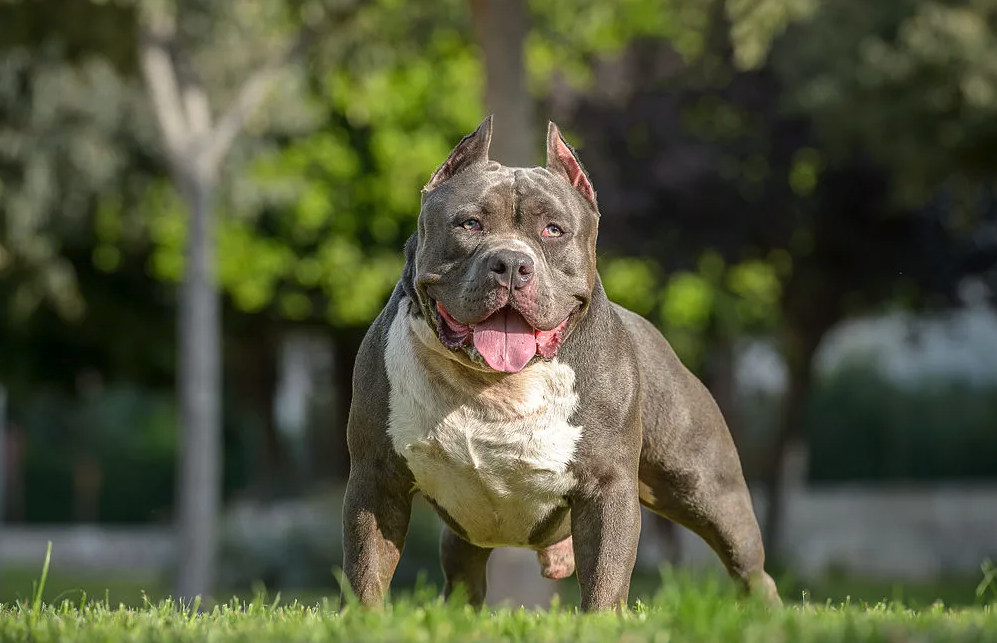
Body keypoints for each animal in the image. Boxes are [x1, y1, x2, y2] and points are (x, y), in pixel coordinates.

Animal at [340, 117, 780, 612]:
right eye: (469, 223)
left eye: (553, 230)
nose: (512, 262)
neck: (494, 385)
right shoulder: (376, 480)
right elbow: (366, 570)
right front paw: (363, 620)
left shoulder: (607, 489)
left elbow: (606, 577)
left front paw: (601, 622)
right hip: (465, 532)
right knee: (463, 577)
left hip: (708, 490)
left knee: (749, 565)